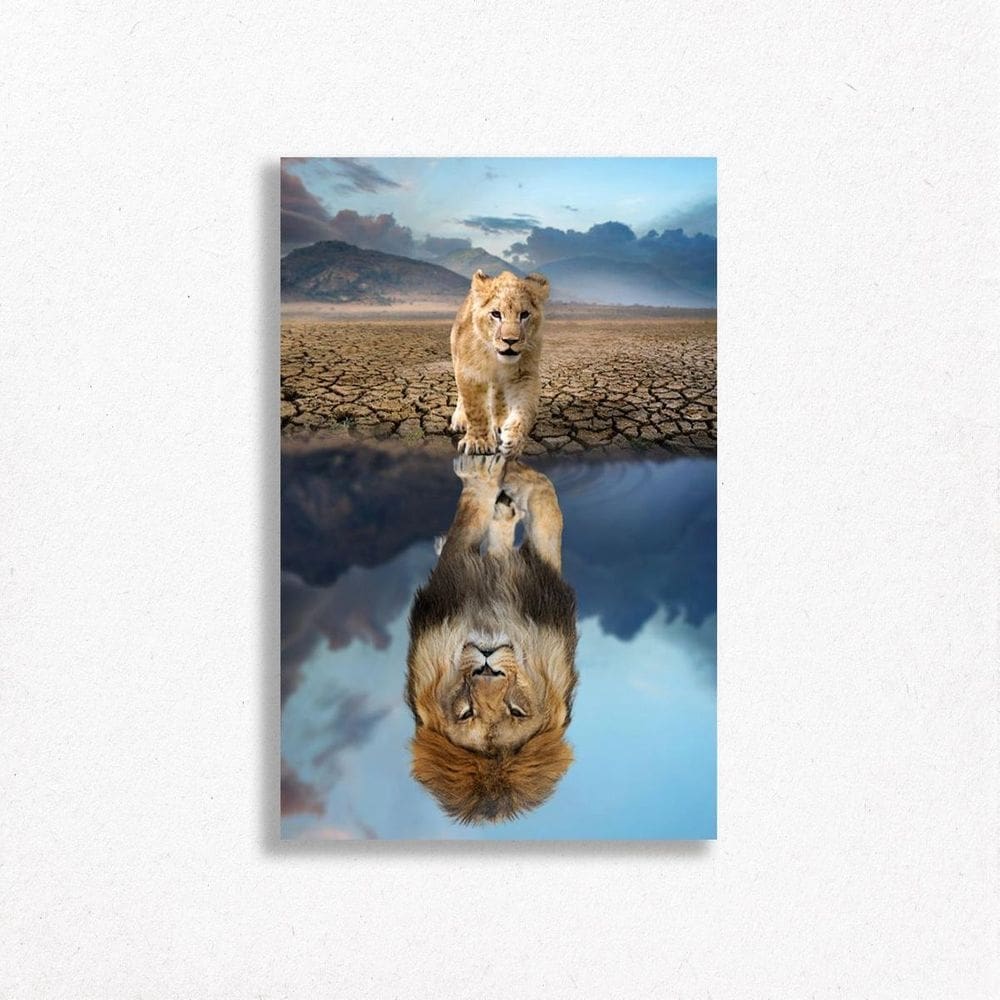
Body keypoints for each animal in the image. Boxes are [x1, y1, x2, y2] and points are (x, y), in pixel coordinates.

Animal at [406, 453, 578, 824]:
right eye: (466, 713)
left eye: (516, 710)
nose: (487, 668)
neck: (490, 619)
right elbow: (541, 504)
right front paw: (496, 477)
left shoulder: (541, 586)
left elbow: (545, 508)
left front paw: (500, 477)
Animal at [449, 269, 550, 457]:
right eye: (496, 314)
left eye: (524, 314)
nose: (510, 340)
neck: (496, 358)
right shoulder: (470, 372)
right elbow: (475, 408)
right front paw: (478, 442)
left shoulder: (524, 374)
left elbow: (526, 409)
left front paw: (514, 440)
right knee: (461, 396)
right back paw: (460, 420)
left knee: (499, 395)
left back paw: (500, 422)